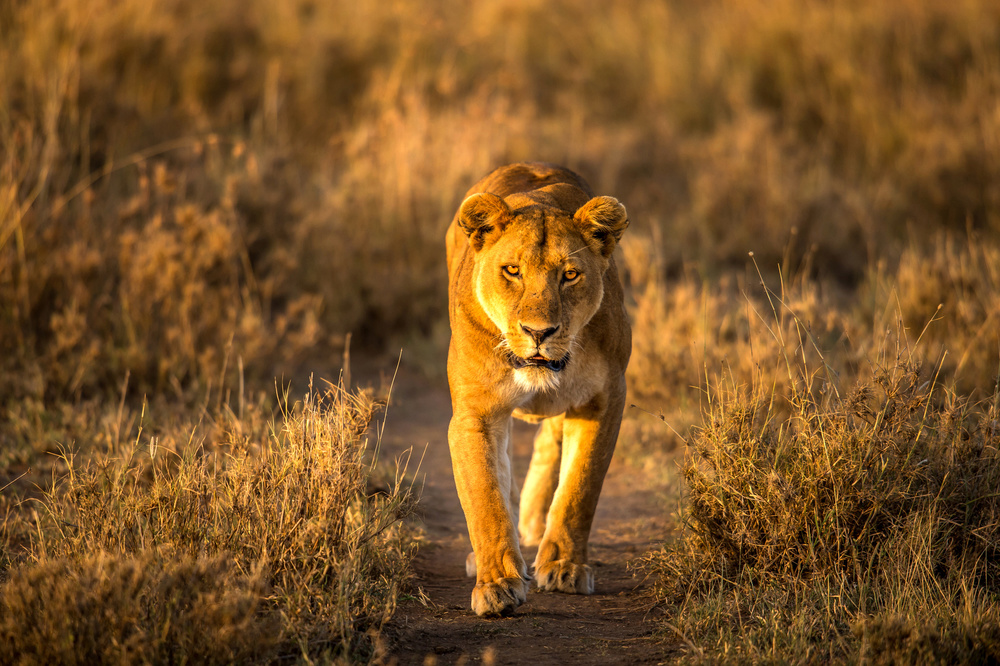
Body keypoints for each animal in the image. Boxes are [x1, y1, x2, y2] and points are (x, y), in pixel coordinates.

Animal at [446, 162, 631, 616]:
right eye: (512, 271)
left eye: (570, 275)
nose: (538, 332)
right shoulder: (475, 413)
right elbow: (486, 498)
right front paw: (497, 584)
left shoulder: (603, 400)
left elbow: (580, 488)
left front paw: (565, 567)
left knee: (551, 441)